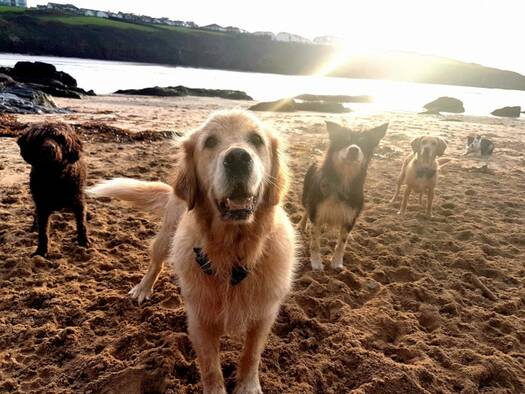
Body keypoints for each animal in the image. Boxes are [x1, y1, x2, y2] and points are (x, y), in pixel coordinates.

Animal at [17, 124, 90, 258]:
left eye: (61, 139)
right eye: (39, 138)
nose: (49, 148)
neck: (53, 176)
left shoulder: (78, 201)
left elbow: (81, 224)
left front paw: (83, 241)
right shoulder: (42, 205)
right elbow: (43, 231)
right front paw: (41, 251)